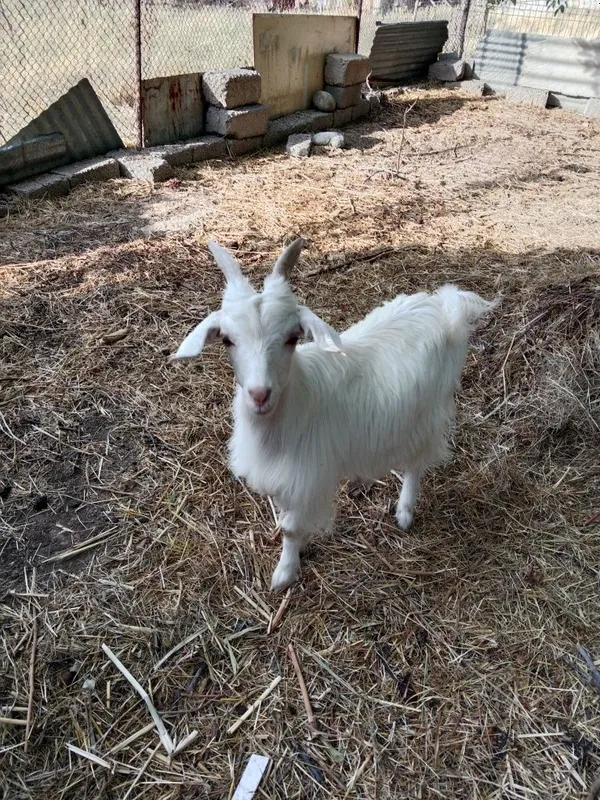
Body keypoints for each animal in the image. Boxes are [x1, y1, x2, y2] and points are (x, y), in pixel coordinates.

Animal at [171, 239, 497, 591]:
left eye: (292, 338)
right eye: (227, 340)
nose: (259, 394)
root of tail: (442, 305)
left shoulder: (307, 476)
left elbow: (292, 527)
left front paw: (285, 572)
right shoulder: (284, 478)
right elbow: (285, 516)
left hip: (427, 410)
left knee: (415, 462)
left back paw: (405, 512)